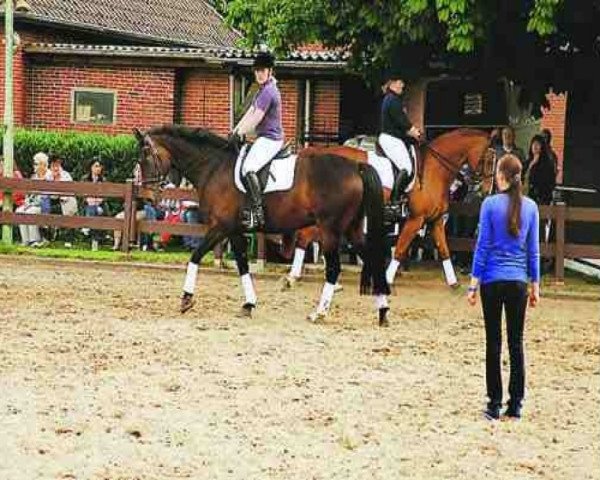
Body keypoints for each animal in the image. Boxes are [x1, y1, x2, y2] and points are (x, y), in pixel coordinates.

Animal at [134, 124, 392, 326]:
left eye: (145, 158)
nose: (147, 197)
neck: (213, 166)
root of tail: (356, 167)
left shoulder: (220, 227)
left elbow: (195, 256)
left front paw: (186, 299)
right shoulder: (235, 231)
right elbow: (242, 265)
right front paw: (248, 304)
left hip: (330, 230)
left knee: (334, 269)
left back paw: (319, 313)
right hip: (352, 228)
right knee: (371, 258)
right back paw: (382, 312)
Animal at [282, 127, 492, 288]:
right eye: (487, 159)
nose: (486, 190)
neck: (435, 169)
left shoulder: (436, 219)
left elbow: (444, 249)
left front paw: (453, 283)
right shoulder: (416, 219)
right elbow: (400, 248)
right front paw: (388, 280)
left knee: (309, 237)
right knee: (306, 237)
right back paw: (295, 276)